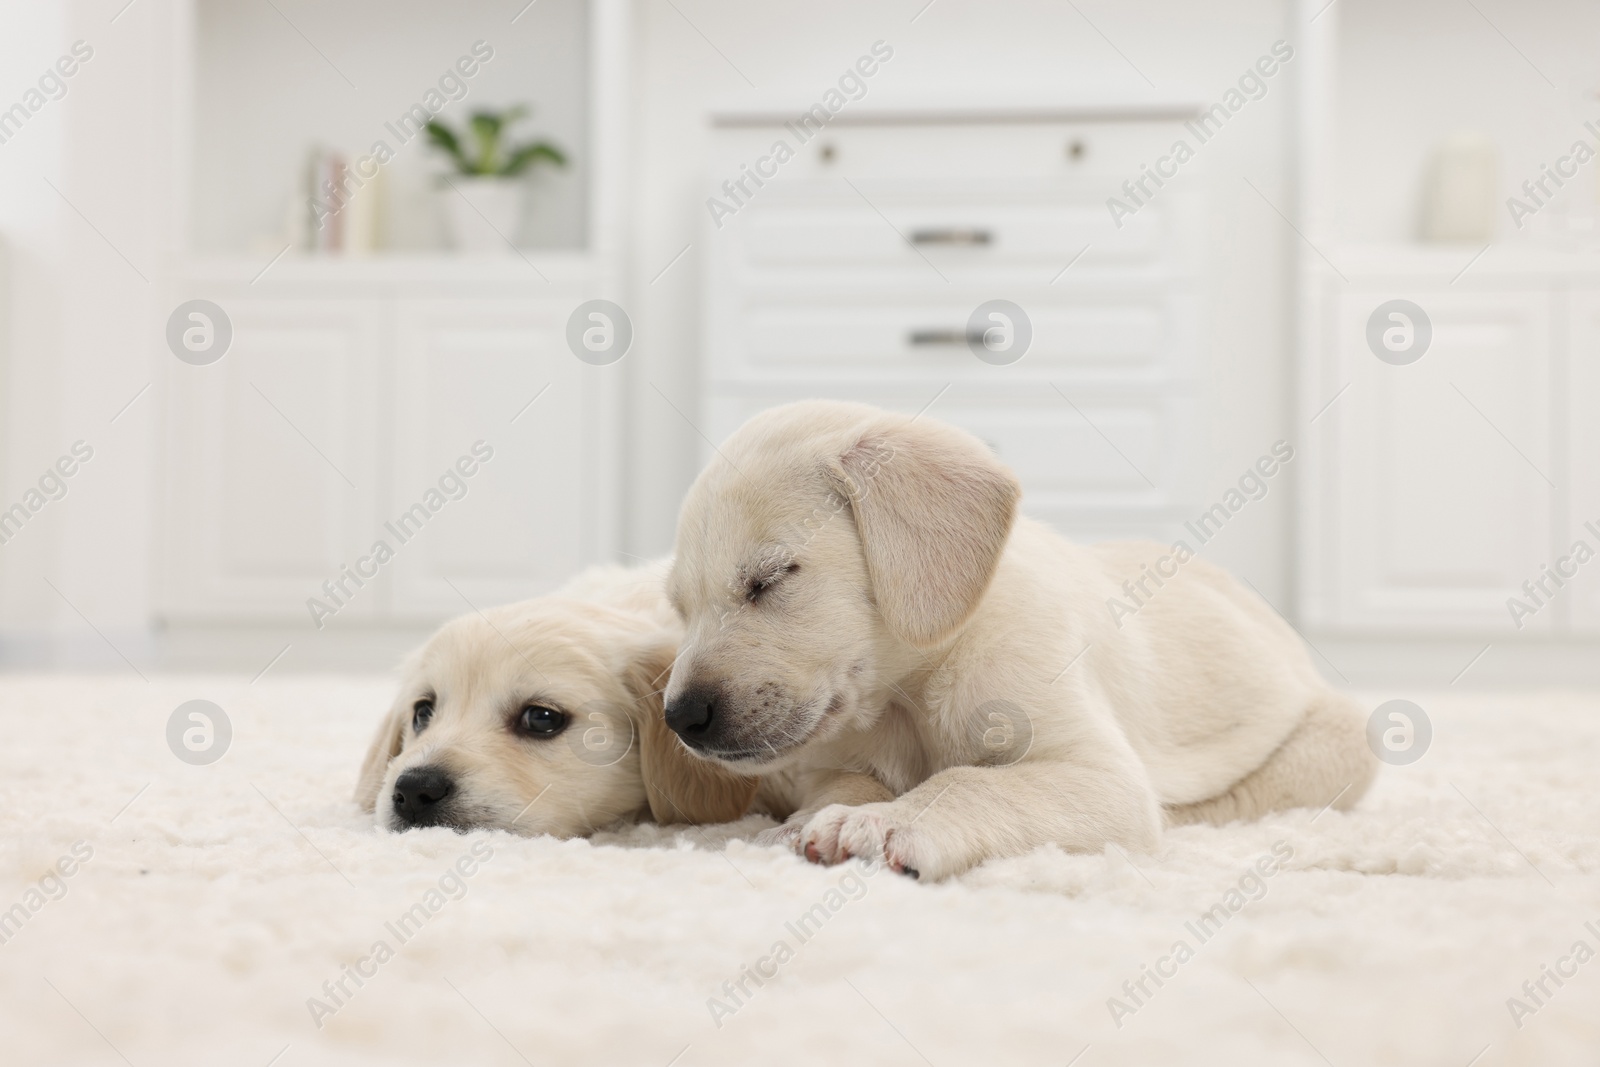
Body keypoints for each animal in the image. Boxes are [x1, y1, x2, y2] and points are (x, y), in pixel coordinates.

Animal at [659, 403, 1376, 883]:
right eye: (679, 606)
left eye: (770, 578)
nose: (681, 718)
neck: (910, 692)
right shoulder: (839, 756)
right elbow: (845, 782)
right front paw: (825, 817)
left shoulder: (1103, 777)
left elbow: (973, 782)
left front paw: (896, 819)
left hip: (1335, 742)